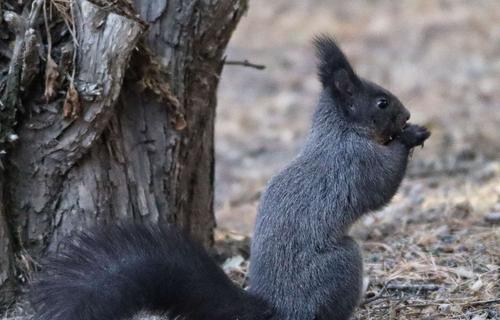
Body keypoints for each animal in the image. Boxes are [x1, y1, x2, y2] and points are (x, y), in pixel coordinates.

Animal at [30, 35, 430, 320]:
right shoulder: (354, 163)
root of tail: (277, 310)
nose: (408, 113)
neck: (340, 131)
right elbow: (381, 186)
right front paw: (411, 136)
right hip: (342, 265)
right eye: (381, 102)